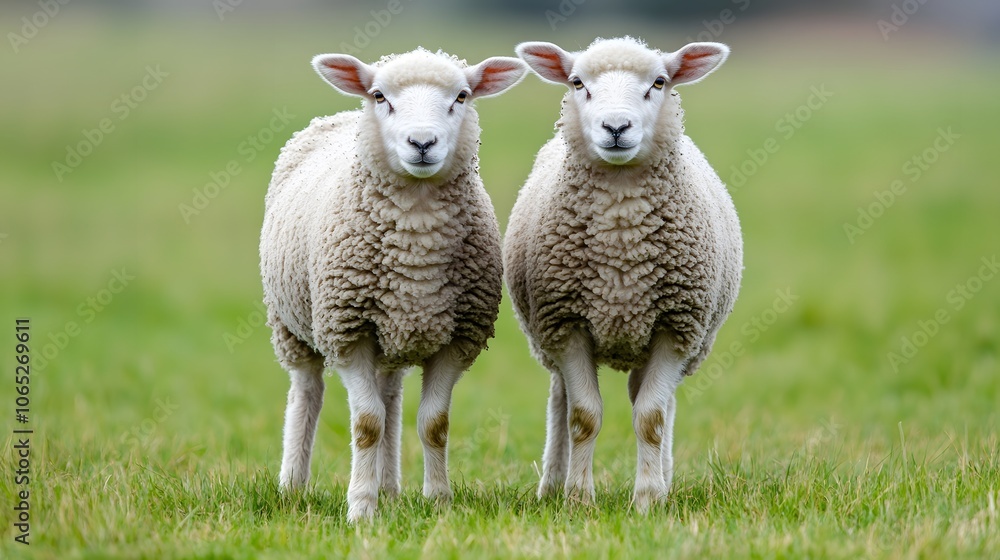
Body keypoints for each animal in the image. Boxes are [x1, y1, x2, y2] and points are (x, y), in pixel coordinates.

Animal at [259, 47, 526, 522]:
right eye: (380, 96)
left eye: (462, 95)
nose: (422, 143)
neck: (415, 237)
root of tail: (338, 115)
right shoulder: (348, 332)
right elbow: (367, 424)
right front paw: (360, 510)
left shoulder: (458, 338)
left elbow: (433, 424)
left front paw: (437, 501)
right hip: (292, 326)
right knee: (307, 392)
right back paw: (293, 486)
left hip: (394, 335)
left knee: (390, 397)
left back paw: (389, 488)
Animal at [505, 37, 742, 512]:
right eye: (577, 82)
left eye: (660, 82)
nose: (616, 127)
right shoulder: (567, 324)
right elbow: (583, 416)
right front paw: (578, 498)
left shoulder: (675, 328)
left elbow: (650, 417)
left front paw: (648, 500)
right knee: (560, 400)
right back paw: (552, 484)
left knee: (656, 403)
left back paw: (664, 478)